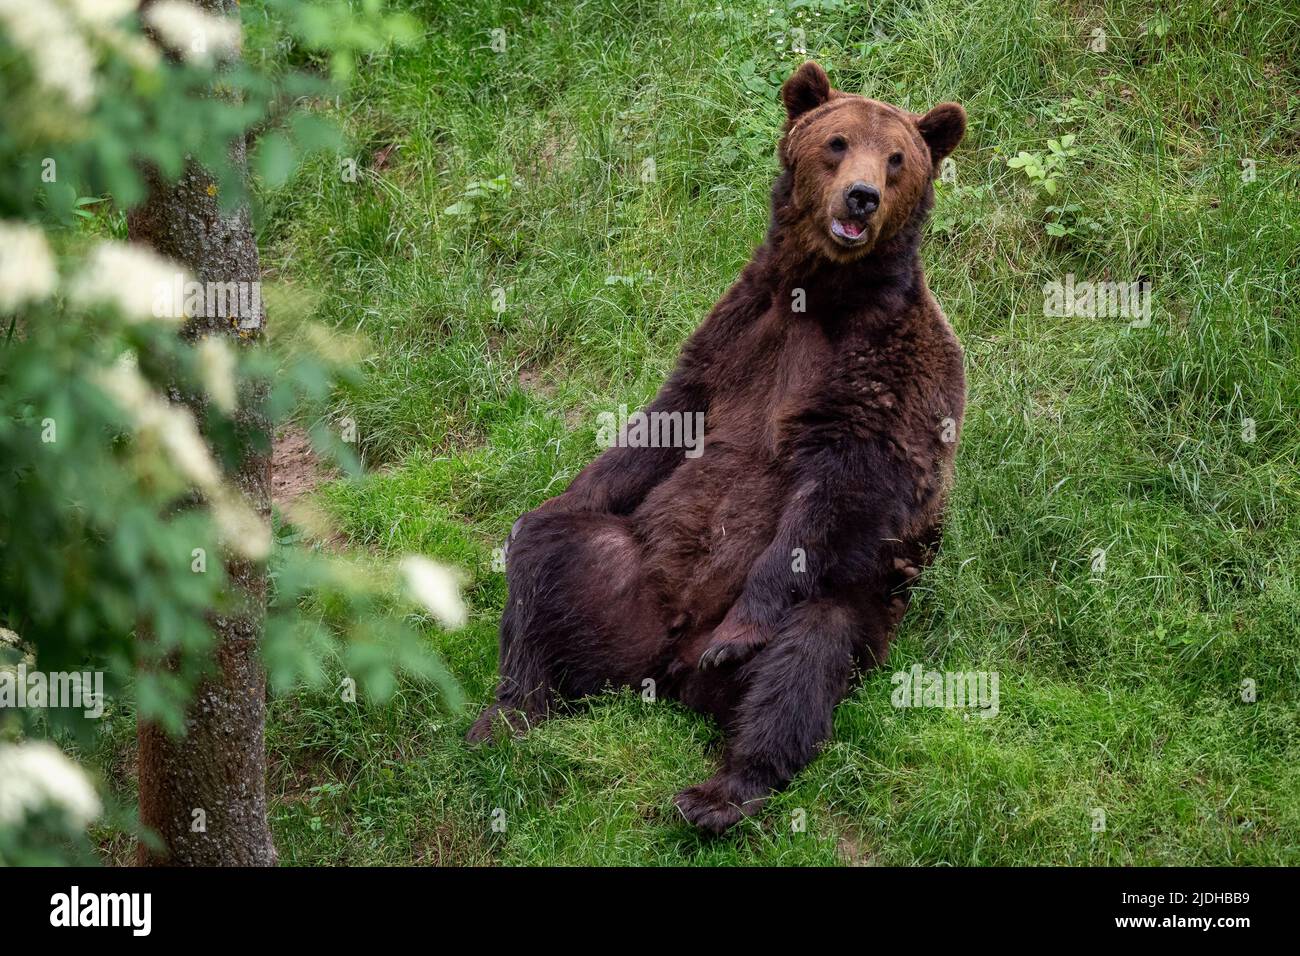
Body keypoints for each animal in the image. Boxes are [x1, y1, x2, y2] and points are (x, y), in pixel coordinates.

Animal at [467, 59, 967, 832]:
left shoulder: (892, 372)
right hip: (625, 576)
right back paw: (511, 709)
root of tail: (667, 667)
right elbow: (665, 421)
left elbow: (839, 491)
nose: (862, 196)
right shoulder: (739, 330)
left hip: (853, 607)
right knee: (552, 566)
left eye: (897, 159)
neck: (822, 295)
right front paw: (546, 506)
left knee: (803, 658)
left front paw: (742, 628)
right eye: (837, 142)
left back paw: (720, 792)